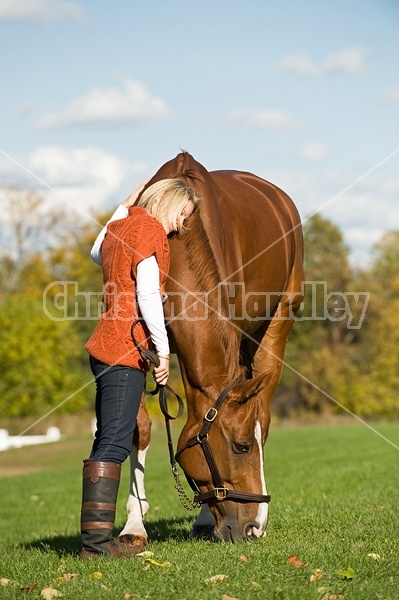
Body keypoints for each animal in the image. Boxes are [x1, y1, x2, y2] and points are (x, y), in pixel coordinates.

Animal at [118, 154, 304, 544]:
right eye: (241, 446)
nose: (255, 527)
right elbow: (138, 427)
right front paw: (134, 525)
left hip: (277, 326)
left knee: (264, 408)